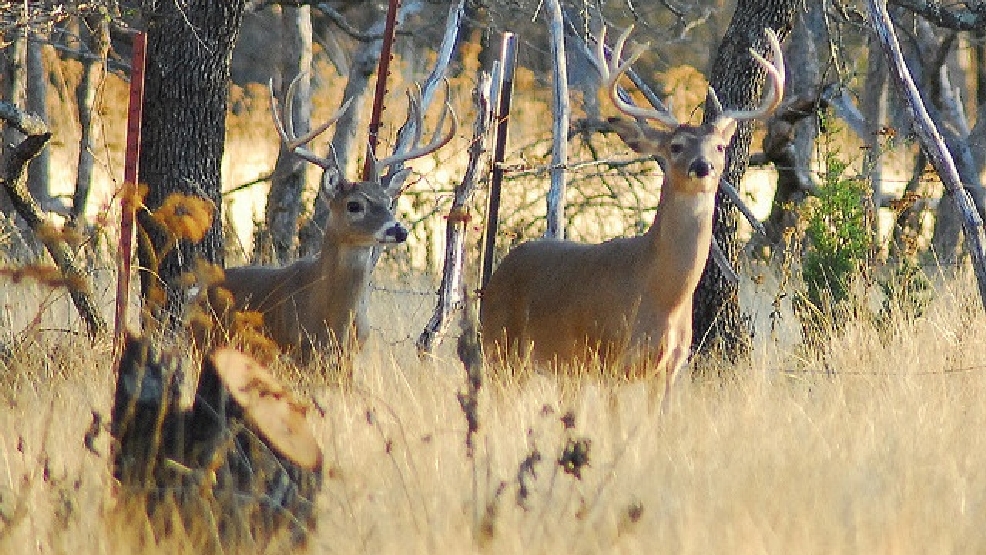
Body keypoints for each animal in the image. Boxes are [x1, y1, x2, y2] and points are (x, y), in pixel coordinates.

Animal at [217, 79, 456, 364]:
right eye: (354, 205)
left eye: (389, 203)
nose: (399, 231)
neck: (333, 322)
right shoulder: (291, 350)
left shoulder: (349, 358)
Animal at [478, 27, 784, 412]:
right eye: (676, 146)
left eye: (719, 146)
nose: (702, 167)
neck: (662, 294)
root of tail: (496, 274)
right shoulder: (612, 358)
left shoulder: (670, 369)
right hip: (500, 348)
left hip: (562, 369)